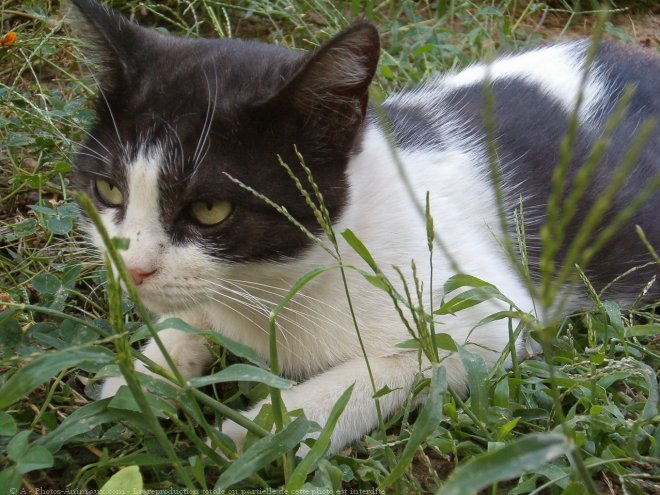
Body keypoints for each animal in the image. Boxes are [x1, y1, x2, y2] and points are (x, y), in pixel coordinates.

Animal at [69, 0, 656, 458]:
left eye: (210, 209)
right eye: (109, 190)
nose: (132, 268)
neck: (278, 280)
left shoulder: (490, 318)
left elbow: (381, 375)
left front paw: (262, 431)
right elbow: (188, 321)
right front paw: (143, 376)